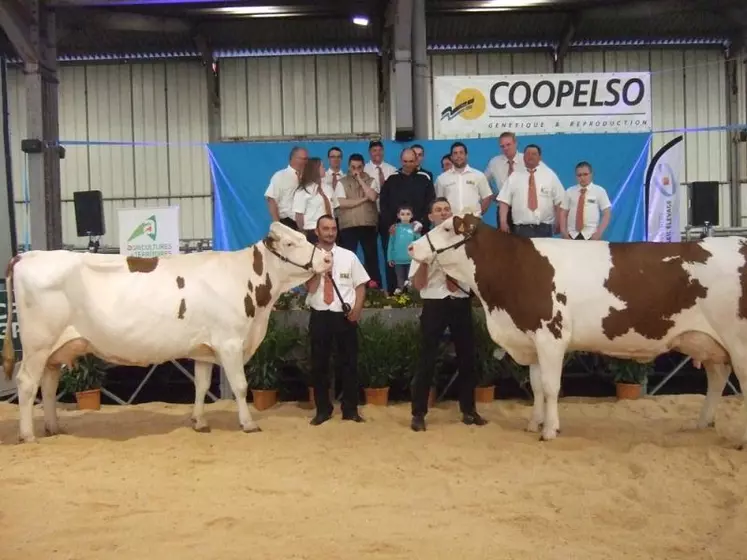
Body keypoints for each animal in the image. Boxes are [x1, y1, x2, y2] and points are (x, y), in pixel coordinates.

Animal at [2, 221, 330, 444]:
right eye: (290, 243)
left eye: (305, 237)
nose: (327, 259)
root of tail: (27, 256)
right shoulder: (230, 342)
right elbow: (239, 385)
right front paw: (248, 424)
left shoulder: (204, 349)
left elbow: (201, 385)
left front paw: (199, 422)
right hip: (36, 345)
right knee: (27, 383)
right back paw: (28, 435)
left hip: (54, 349)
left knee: (48, 384)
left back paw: (54, 428)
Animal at [410, 212, 747, 448]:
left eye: (447, 228)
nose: (412, 246)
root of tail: (736, 242)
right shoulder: (531, 339)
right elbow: (536, 386)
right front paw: (534, 424)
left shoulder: (550, 336)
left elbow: (550, 387)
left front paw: (549, 430)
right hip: (710, 343)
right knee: (718, 377)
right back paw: (702, 424)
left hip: (738, 340)